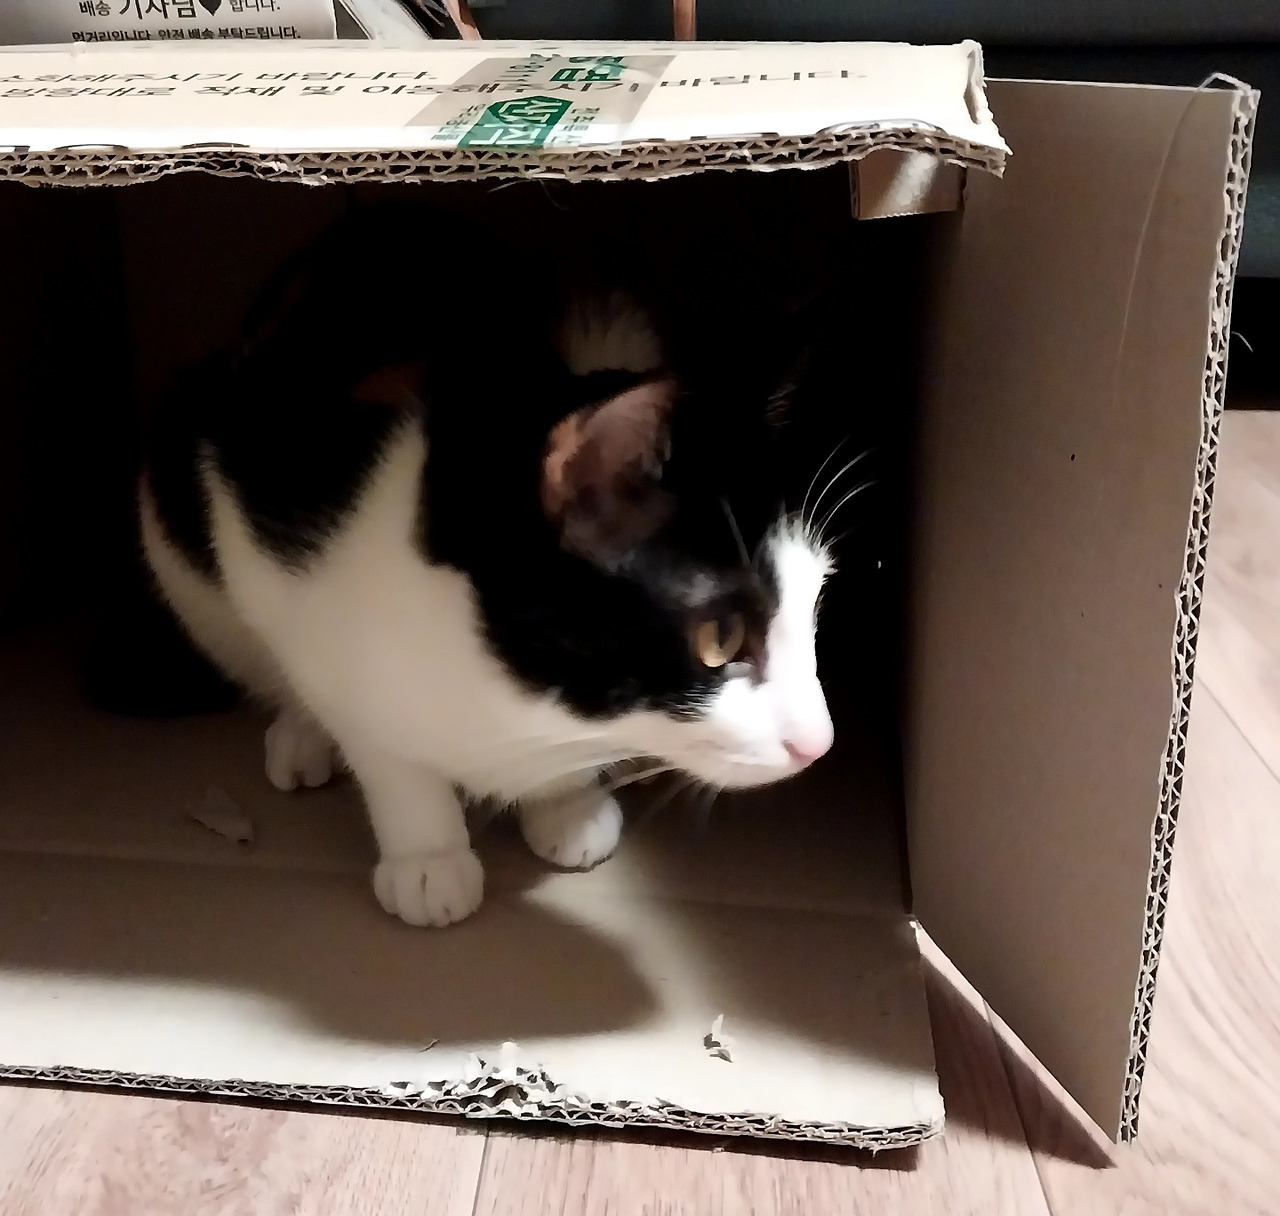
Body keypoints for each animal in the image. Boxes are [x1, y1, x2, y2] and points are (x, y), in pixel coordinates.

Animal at [138, 203, 841, 928]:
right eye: (720, 637)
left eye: (816, 599)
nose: (819, 743)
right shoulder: (259, 528)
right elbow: (369, 729)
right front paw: (427, 854)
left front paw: (566, 802)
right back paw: (303, 736)